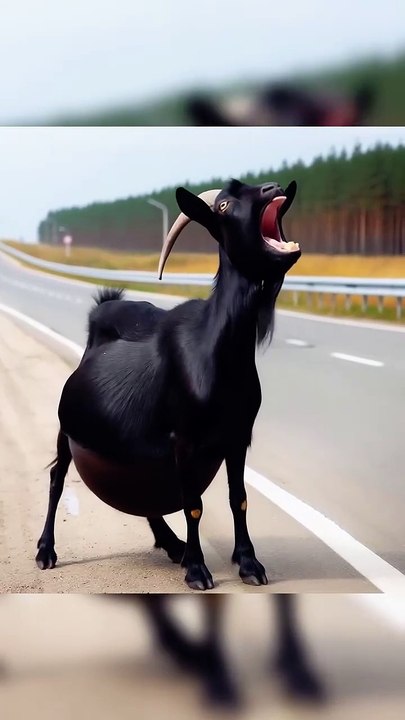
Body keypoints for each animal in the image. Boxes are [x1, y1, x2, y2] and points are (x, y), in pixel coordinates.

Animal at [36, 178, 301, 590]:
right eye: (224, 205)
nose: (273, 187)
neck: (216, 351)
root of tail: (101, 313)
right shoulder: (185, 439)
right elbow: (193, 505)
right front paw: (198, 570)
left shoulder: (238, 436)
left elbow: (238, 498)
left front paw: (248, 564)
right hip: (67, 429)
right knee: (57, 477)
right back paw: (46, 551)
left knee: (137, 487)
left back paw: (171, 543)